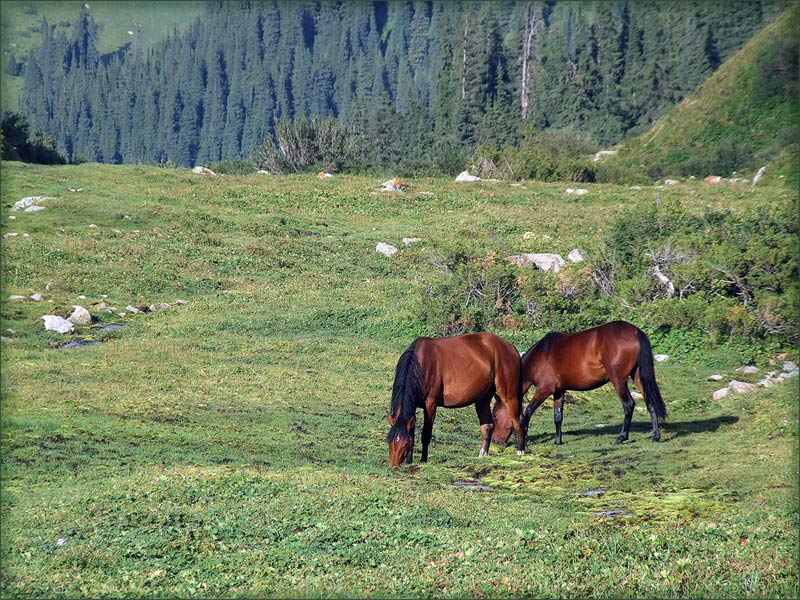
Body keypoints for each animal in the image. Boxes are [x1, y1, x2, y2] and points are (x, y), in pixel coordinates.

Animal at [386, 330, 524, 466]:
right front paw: (409, 462)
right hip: (482, 399)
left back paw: (520, 452)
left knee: (517, 421)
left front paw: (423, 460)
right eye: (389, 441)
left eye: (403, 444)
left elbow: (426, 433)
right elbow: (412, 433)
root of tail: (510, 346)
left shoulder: (430, 404)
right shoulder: (413, 405)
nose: (394, 466)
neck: (421, 364)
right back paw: (482, 455)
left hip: (509, 395)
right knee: (488, 426)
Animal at [490, 324, 664, 446]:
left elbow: (526, 413)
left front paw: (523, 437)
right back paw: (655, 435)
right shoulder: (559, 391)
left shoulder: (544, 390)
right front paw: (558, 440)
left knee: (628, 405)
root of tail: (635, 332)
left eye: (495, 415)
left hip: (618, 380)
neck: (541, 356)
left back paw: (621, 437)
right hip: (638, 376)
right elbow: (557, 416)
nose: (495, 441)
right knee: (650, 402)